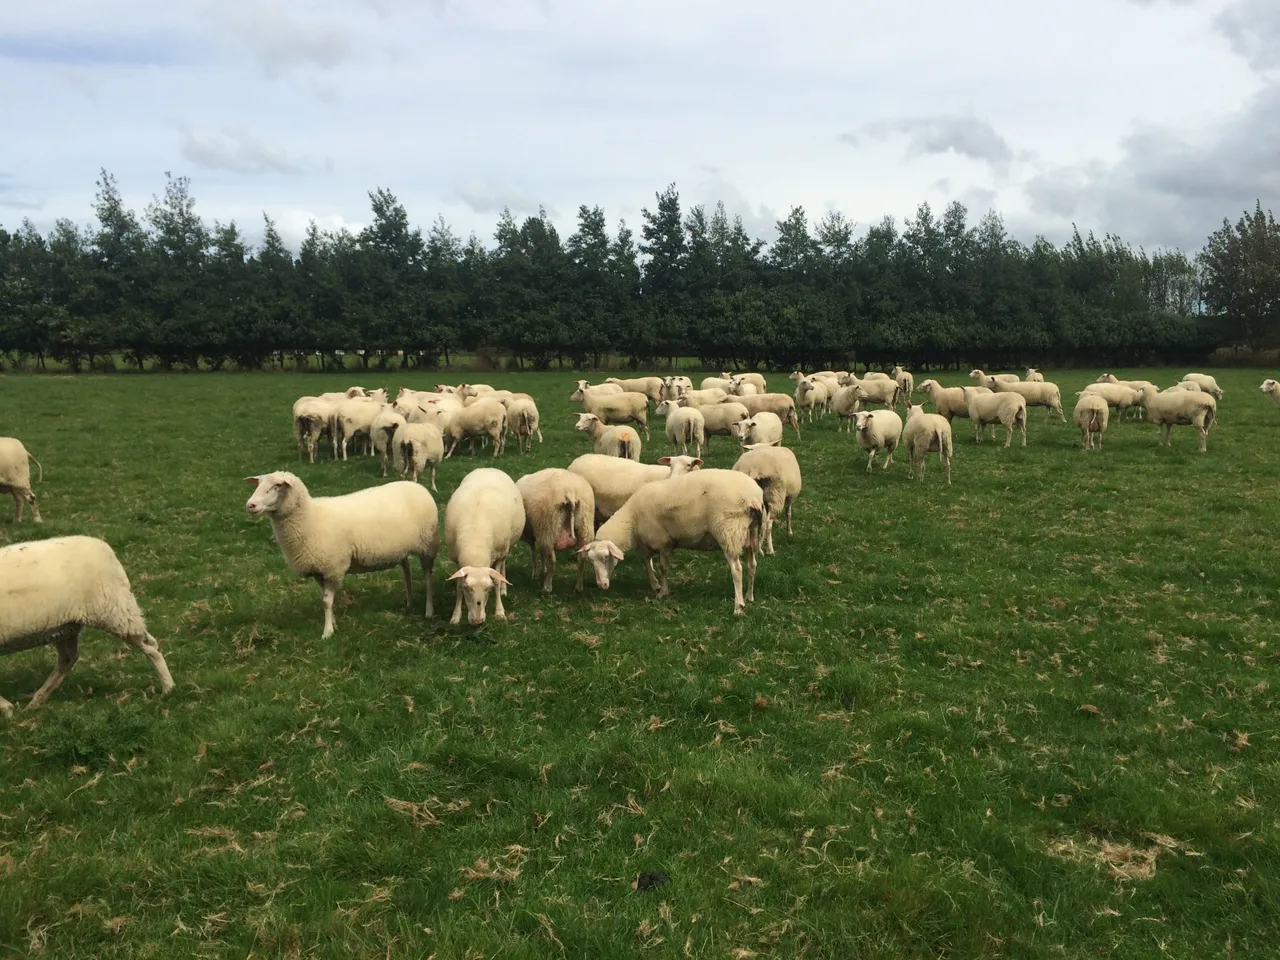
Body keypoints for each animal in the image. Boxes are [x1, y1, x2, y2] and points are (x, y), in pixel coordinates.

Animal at [0, 535, 175, 716]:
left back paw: (168, 688)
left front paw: (6, 709)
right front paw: (7, 708)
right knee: (68, 658)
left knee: (150, 645)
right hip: (65, 626)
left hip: (115, 611)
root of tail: (103, 545)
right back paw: (38, 699)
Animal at [246, 471, 439, 639]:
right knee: (406, 570)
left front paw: (327, 632)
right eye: (258, 483)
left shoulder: (333, 568)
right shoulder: (320, 570)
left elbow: (326, 602)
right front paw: (334, 624)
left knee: (428, 577)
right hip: (402, 549)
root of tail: (418, 486)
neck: (311, 518)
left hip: (427, 545)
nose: (250, 505)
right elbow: (326, 600)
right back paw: (409, 601)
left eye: (277, 486)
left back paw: (429, 610)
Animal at [443, 468, 527, 625]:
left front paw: (500, 612)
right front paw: (455, 616)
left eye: (488, 589)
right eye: (467, 588)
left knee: (503, 567)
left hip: (506, 547)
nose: (477, 621)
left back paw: (504, 590)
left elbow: (497, 581)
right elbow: (458, 587)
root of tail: (489, 468)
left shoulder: (499, 554)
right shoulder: (457, 561)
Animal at [579, 469, 764, 615]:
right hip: (750, 533)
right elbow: (647, 564)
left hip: (729, 531)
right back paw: (749, 596)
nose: (601, 585)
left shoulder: (662, 542)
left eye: (605, 557)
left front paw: (663, 592)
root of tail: (754, 497)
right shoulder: (646, 543)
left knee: (737, 569)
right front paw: (655, 585)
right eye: (591, 561)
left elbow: (663, 568)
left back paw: (738, 607)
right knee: (752, 565)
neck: (632, 521)